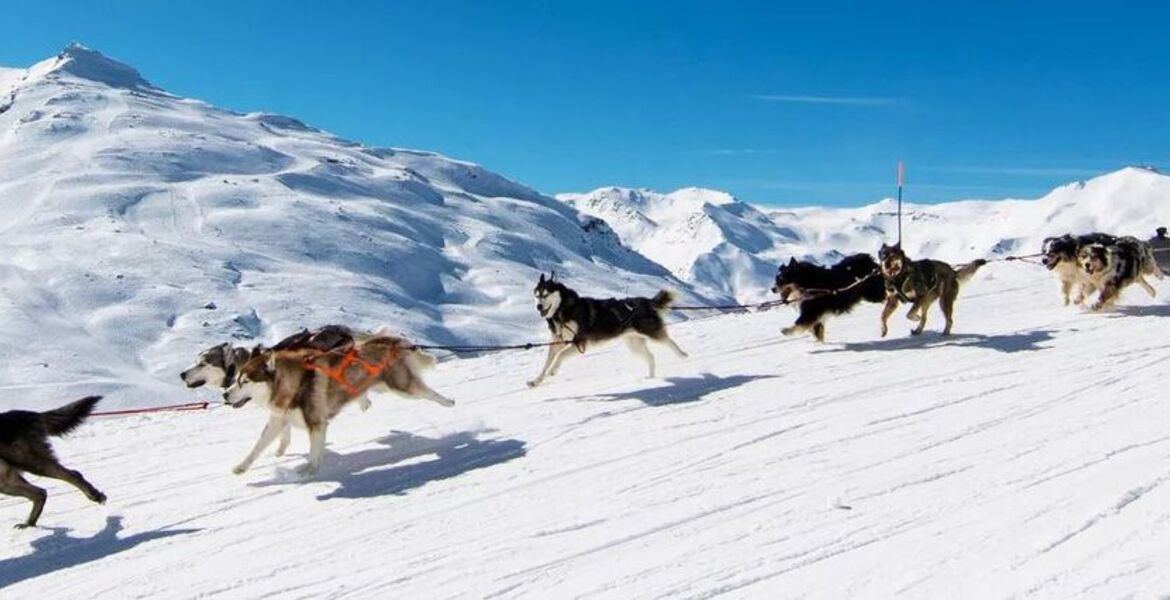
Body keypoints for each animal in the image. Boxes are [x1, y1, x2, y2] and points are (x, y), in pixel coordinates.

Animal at [0, 395, 106, 526]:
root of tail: (34, 414)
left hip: (29, 461)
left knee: (72, 475)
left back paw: (95, 496)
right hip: (7, 481)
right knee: (40, 493)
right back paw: (28, 525)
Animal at [222, 329, 451, 474]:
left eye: (245, 381)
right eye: (237, 379)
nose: (224, 395)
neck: (296, 383)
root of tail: (385, 340)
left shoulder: (316, 424)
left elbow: (314, 453)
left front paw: (309, 472)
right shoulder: (278, 421)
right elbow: (258, 446)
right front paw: (241, 467)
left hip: (401, 387)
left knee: (428, 392)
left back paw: (448, 402)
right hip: (381, 385)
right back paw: (363, 401)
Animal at [528, 272, 683, 388]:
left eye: (545, 294)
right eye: (537, 295)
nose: (538, 306)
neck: (563, 310)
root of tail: (646, 301)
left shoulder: (579, 342)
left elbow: (559, 356)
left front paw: (553, 370)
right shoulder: (557, 342)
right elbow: (546, 363)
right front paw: (536, 380)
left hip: (651, 332)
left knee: (669, 341)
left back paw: (682, 355)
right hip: (634, 344)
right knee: (651, 357)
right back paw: (650, 378)